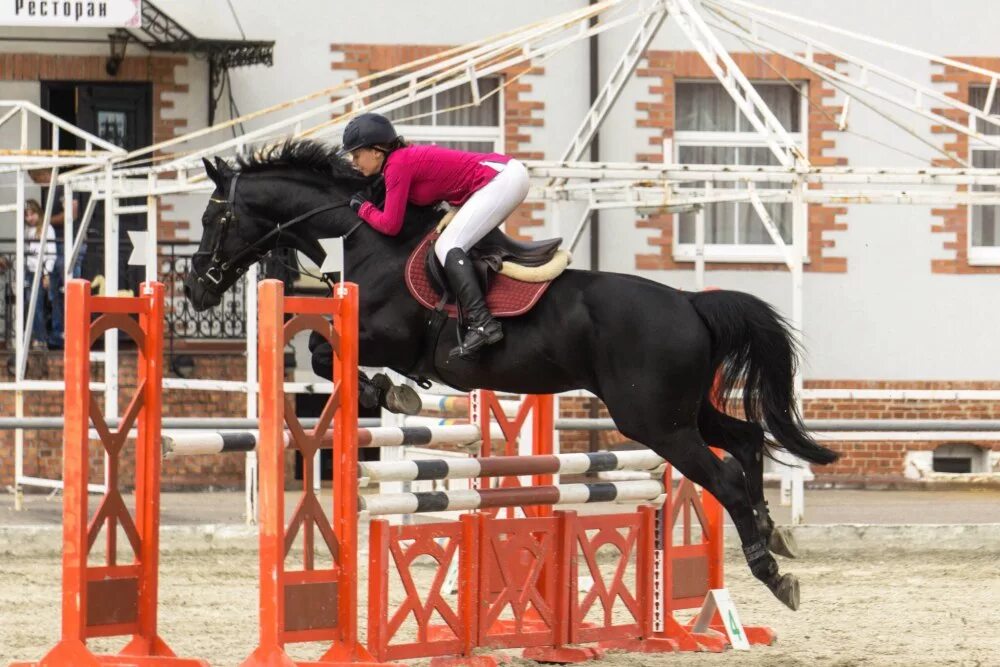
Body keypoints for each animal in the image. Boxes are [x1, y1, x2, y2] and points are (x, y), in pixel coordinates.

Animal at [186, 141, 836, 612]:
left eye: (214, 216)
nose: (195, 289)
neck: (366, 234)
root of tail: (690, 302)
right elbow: (327, 353)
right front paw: (391, 390)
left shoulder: (386, 332)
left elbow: (324, 352)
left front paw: (387, 389)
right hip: (680, 410)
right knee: (747, 440)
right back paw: (773, 531)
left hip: (655, 423)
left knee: (724, 477)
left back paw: (772, 571)